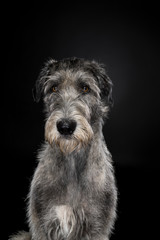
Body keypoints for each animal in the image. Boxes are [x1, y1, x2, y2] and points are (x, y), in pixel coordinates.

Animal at [10, 58, 117, 240]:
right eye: (54, 88)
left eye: (85, 88)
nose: (65, 127)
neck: (71, 159)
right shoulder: (42, 225)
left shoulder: (97, 226)